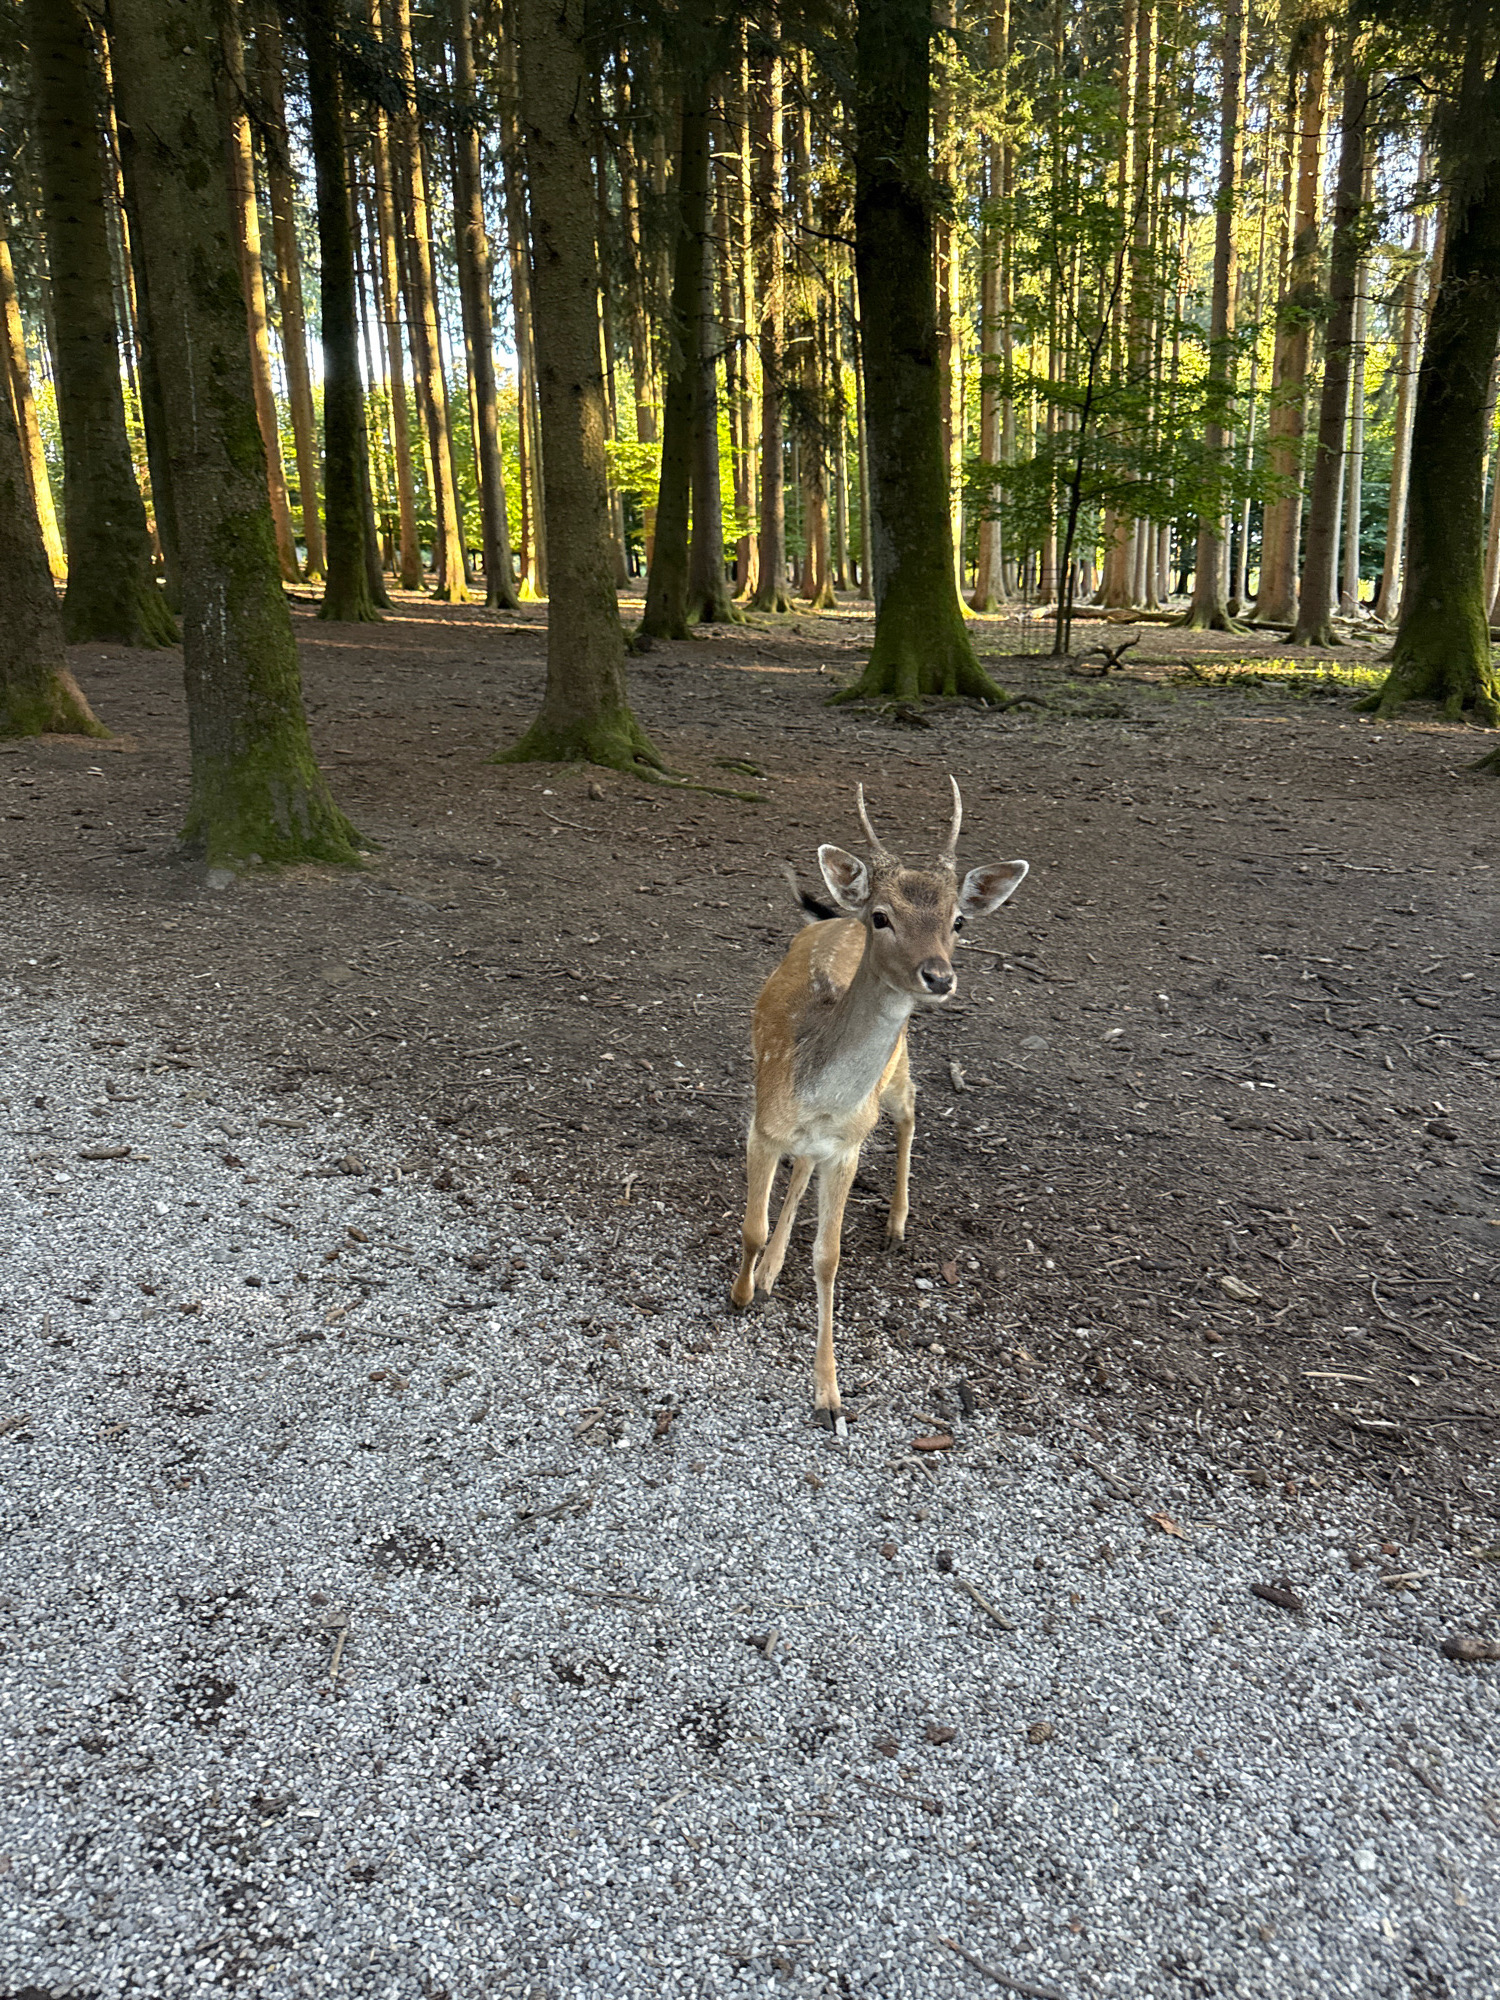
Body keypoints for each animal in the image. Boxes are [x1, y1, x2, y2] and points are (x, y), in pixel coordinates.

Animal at [730, 779, 1029, 1423]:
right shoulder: (762, 1126)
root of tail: (835, 918)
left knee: (912, 1108)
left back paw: (896, 1225)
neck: (817, 1090)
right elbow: (752, 1228)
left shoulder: (848, 1146)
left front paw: (829, 1395)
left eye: (958, 920)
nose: (938, 976)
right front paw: (742, 1292)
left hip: (895, 1074)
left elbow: (828, 1257)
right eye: (883, 916)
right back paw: (769, 1273)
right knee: (808, 1164)